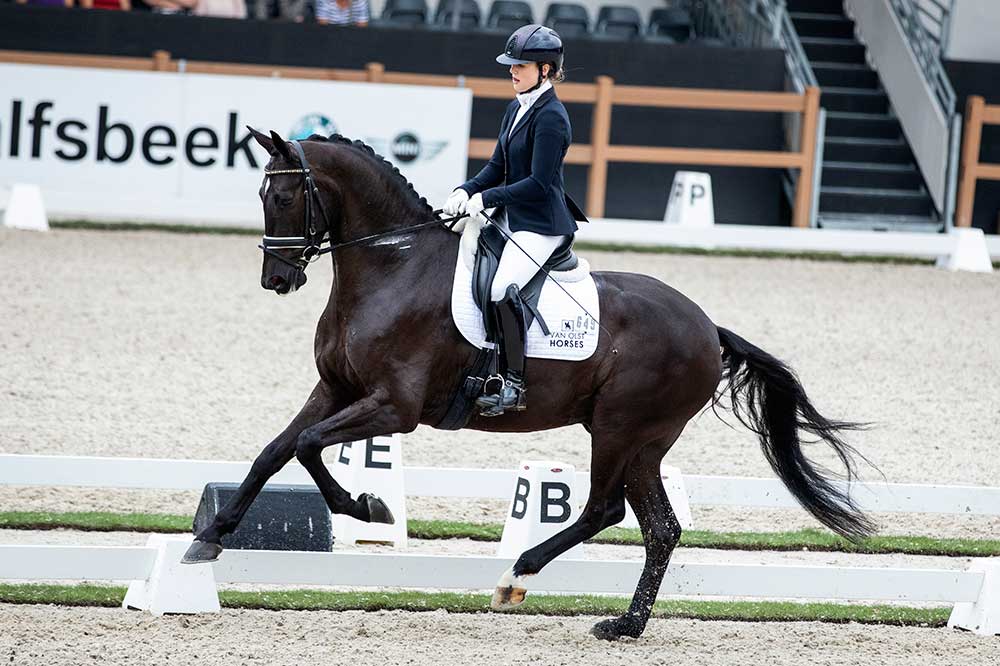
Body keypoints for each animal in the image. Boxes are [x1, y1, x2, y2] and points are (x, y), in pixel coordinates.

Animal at [182, 128, 876, 640]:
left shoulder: (393, 408)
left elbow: (307, 447)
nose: (277, 279)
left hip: (621, 427)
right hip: (644, 442)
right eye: (263, 194)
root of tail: (708, 326)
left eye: (283, 197)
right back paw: (624, 625)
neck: (390, 267)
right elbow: (276, 450)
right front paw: (209, 538)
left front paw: (366, 505)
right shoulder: (334, 391)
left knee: (605, 509)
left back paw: (520, 574)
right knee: (659, 528)